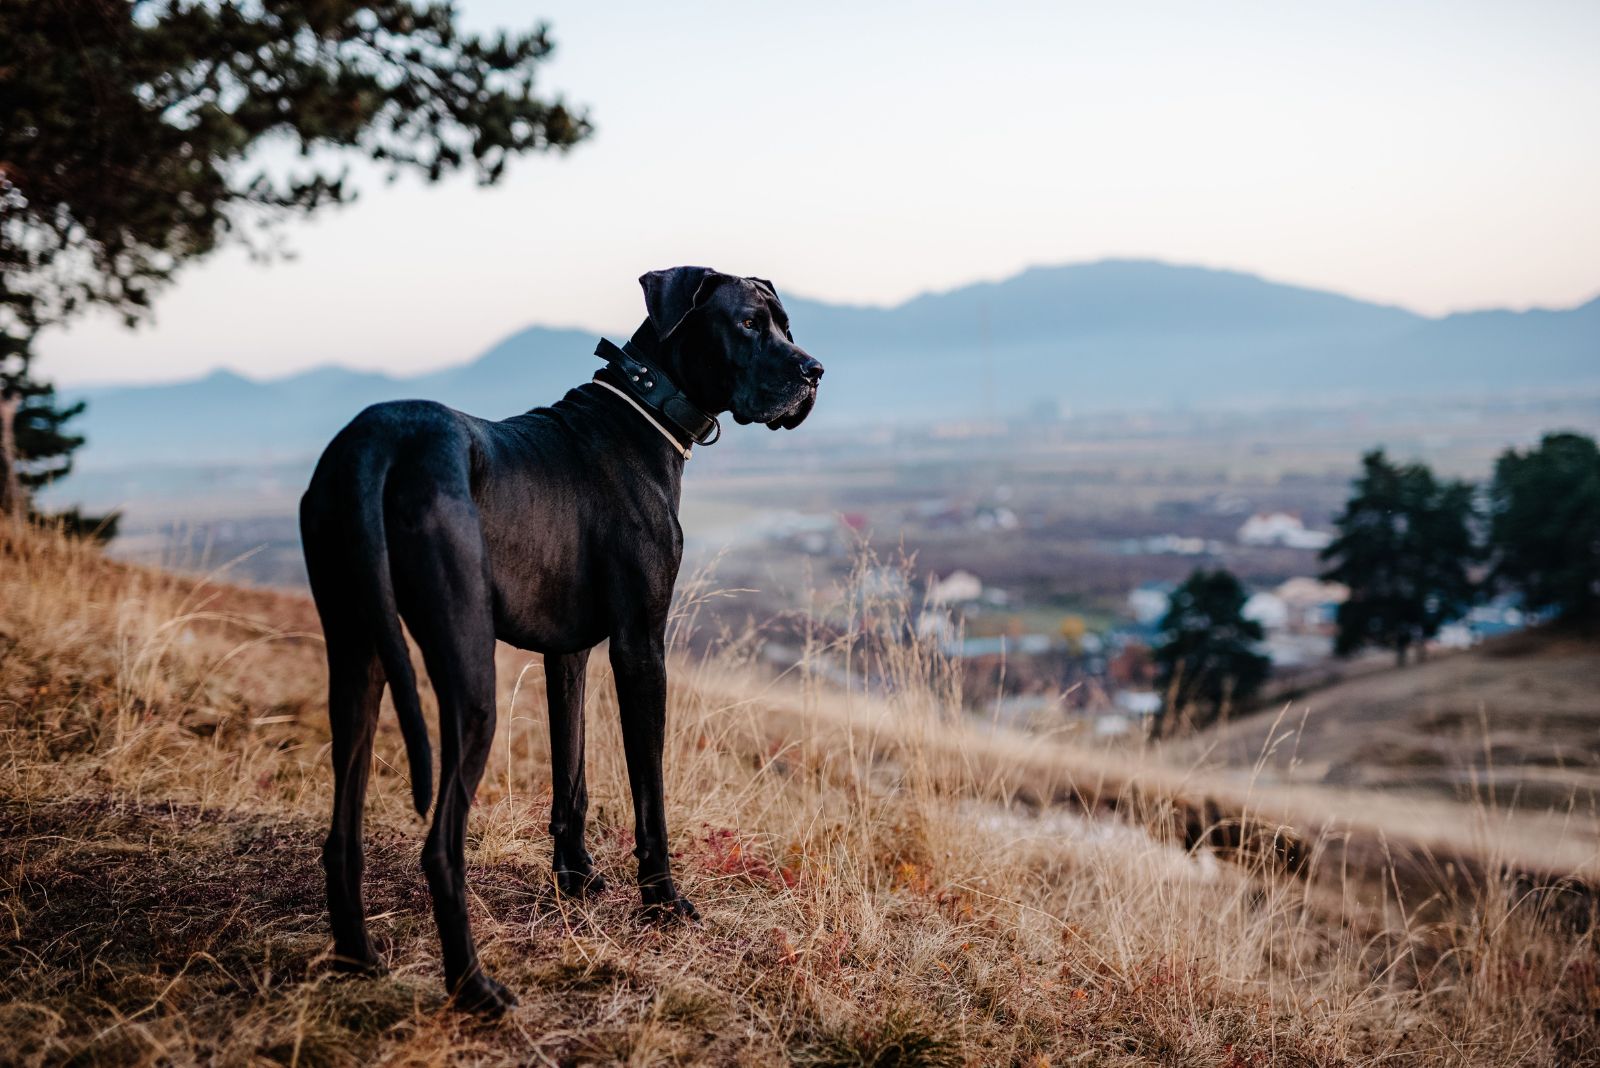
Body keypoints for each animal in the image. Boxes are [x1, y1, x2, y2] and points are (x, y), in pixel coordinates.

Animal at [300, 267, 825, 1010]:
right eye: (749, 323)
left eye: (784, 322)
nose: (814, 371)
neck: (647, 406)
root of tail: (377, 443)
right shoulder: (640, 645)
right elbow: (647, 786)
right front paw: (662, 900)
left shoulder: (567, 651)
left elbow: (569, 768)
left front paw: (573, 877)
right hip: (469, 676)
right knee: (441, 846)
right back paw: (473, 988)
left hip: (357, 656)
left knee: (342, 830)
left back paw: (357, 960)